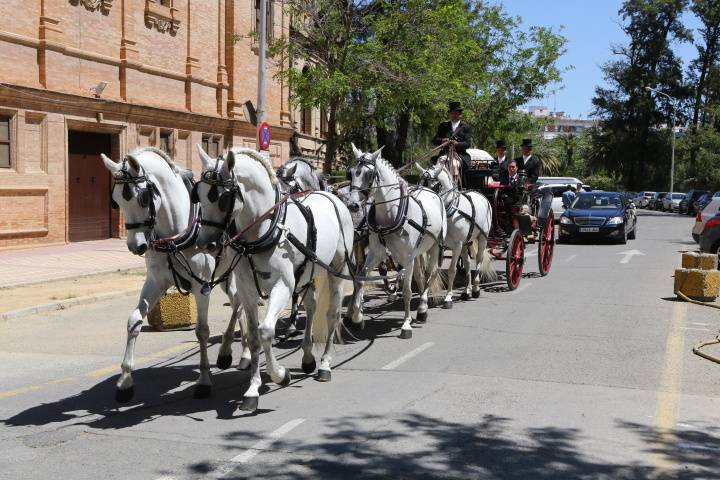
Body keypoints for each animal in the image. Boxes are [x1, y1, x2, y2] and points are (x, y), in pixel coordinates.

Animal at [100, 148, 243, 404]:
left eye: (142, 198)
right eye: (116, 200)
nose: (136, 246)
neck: (176, 232)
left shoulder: (202, 287)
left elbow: (202, 331)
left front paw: (204, 381)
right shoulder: (156, 282)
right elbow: (134, 321)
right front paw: (125, 382)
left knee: (242, 304)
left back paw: (234, 352)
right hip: (227, 276)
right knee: (239, 302)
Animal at [195, 147, 356, 412]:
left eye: (221, 197)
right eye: (197, 194)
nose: (205, 243)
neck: (264, 230)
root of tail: (332, 197)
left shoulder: (283, 287)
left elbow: (266, 331)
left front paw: (280, 375)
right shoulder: (247, 290)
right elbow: (253, 336)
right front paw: (252, 389)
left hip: (337, 269)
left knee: (332, 314)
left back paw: (324, 364)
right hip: (309, 273)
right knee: (311, 306)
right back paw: (308, 358)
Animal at [348, 146, 448, 338]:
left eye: (369, 174)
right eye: (350, 173)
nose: (353, 205)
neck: (390, 214)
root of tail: (431, 192)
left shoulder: (407, 258)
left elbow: (408, 291)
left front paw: (406, 325)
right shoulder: (376, 254)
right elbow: (361, 280)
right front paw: (357, 318)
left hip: (434, 247)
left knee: (431, 273)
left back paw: (423, 307)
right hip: (417, 253)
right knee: (420, 275)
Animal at [416, 161, 496, 304]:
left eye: (434, 186)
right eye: (419, 183)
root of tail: (481, 195)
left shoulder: (457, 245)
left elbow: (452, 270)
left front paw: (448, 296)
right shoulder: (438, 245)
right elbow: (431, 270)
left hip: (482, 237)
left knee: (479, 259)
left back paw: (475, 288)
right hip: (465, 243)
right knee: (468, 264)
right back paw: (466, 291)